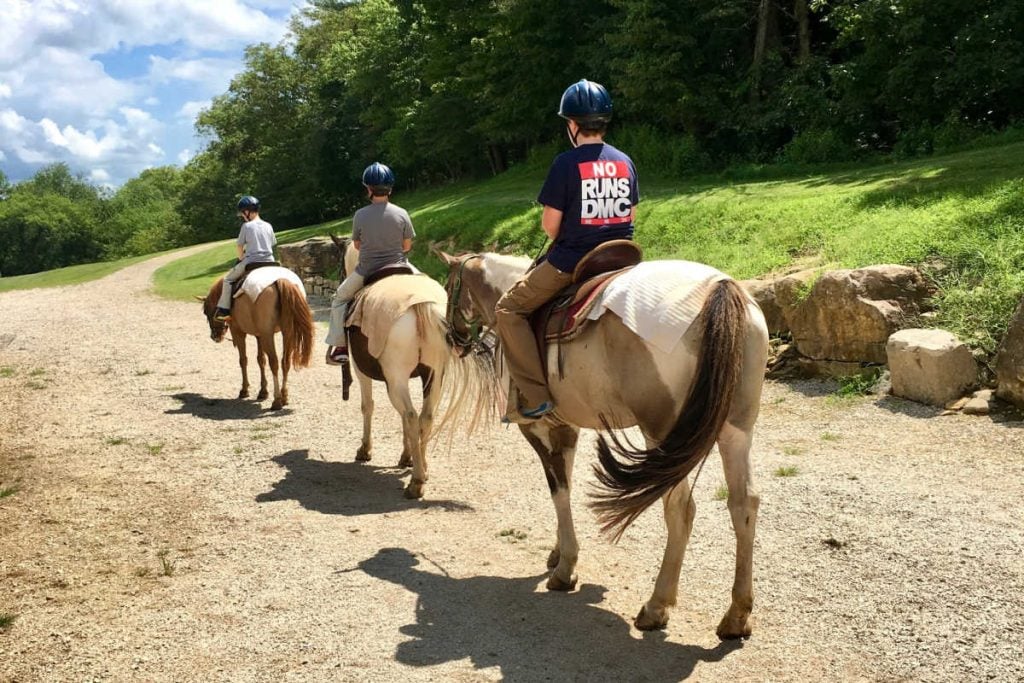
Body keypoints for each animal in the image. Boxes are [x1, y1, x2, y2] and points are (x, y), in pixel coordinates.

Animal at [197, 268, 313, 411]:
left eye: (206, 311)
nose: (215, 336)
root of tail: (280, 280)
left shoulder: (238, 332)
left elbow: (243, 360)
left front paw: (244, 390)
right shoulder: (259, 335)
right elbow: (260, 360)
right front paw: (263, 391)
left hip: (268, 335)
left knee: (274, 363)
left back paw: (277, 400)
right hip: (287, 333)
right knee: (285, 362)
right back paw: (284, 396)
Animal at [333, 237, 493, 499]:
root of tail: (421, 305)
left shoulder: (362, 371)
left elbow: (368, 406)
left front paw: (365, 449)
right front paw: (408, 456)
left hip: (397, 378)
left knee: (410, 416)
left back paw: (416, 482)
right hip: (434, 375)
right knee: (425, 417)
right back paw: (423, 468)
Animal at [438, 250, 770, 643]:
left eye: (448, 287)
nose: (452, 337)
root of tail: (719, 287)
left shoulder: (539, 427)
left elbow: (558, 490)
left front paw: (565, 568)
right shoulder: (567, 427)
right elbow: (563, 483)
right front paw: (557, 553)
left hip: (663, 433)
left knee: (681, 509)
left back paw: (656, 607)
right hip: (736, 429)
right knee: (743, 504)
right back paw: (736, 615)